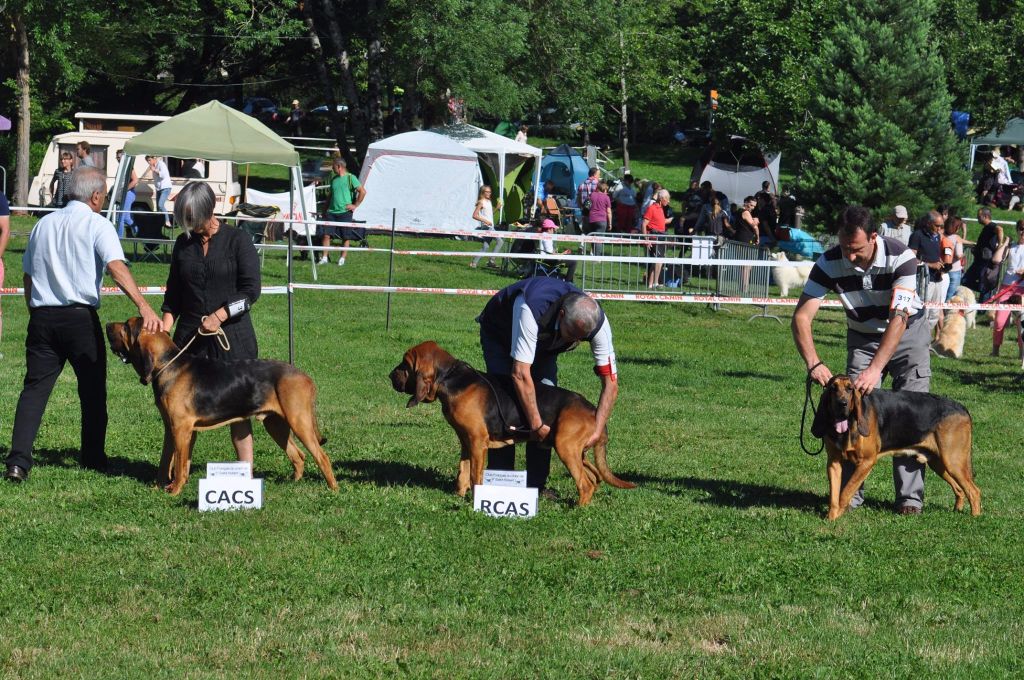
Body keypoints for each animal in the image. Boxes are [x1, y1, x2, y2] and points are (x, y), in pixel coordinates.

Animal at [107, 315, 339, 497]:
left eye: (126, 326)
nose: (107, 324)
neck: (168, 365)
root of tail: (305, 377)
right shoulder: (171, 429)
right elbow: (168, 461)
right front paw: (161, 487)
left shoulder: (181, 429)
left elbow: (179, 465)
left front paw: (175, 491)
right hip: (276, 424)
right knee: (298, 456)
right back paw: (293, 483)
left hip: (299, 422)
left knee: (322, 457)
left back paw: (333, 489)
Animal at [389, 340, 634, 503]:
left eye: (405, 364)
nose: (390, 376)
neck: (450, 378)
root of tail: (594, 411)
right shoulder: (466, 442)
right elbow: (462, 472)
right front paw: (458, 495)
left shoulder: (477, 443)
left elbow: (475, 475)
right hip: (574, 450)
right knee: (594, 477)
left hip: (566, 448)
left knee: (585, 483)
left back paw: (578, 509)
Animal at [811, 376, 978, 520]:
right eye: (833, 388)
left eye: (850, 389)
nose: (842, 404)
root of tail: (962, 408)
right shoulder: (833, 463)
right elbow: (834, 496)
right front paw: (831, 518)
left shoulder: (866, 462)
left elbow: (845, 493)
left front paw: (838, 515)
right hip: (939, 463)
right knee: (960, 489)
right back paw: (957, 510)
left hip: (953, 462)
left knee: (974, 491)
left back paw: (975, 518)